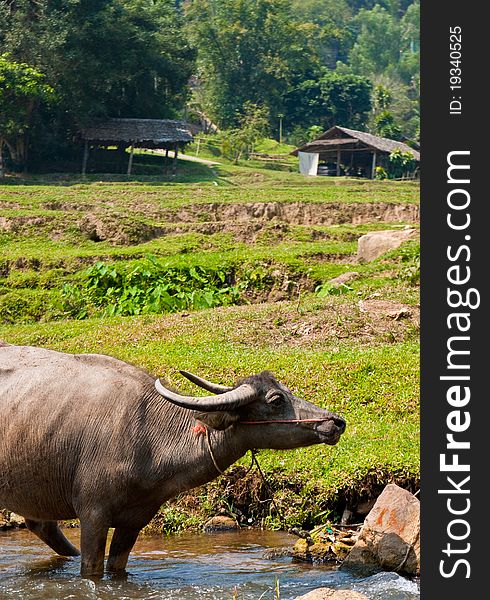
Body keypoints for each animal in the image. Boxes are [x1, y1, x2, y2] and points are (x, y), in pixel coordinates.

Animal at [0, 342, 344, 576]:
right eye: (276, 400)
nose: (336, 422)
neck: (148, 437)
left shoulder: (135, 520)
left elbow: (117, 567)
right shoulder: (93, 514)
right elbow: (92, 570)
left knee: (41, 525)